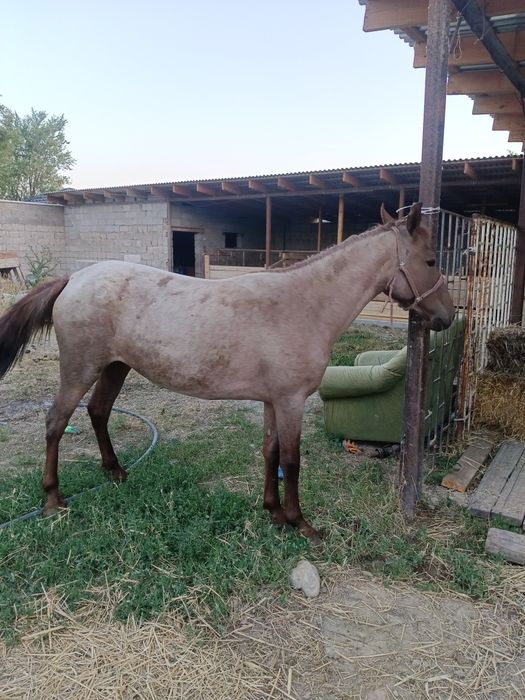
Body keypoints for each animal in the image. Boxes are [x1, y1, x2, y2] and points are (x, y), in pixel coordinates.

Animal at [0, 202, 454, 538]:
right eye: (431, 260)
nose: (447, 317)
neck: (304, 304)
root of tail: (74, 277)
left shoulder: (273, 401)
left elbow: (271, 452)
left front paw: (274, 513)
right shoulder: (290, 401)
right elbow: (292, 459)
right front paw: (300, 523)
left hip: (115, 368)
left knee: (98, 412)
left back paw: (116, 473)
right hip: (81, 369)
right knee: (57, 421)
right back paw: (53, 501)